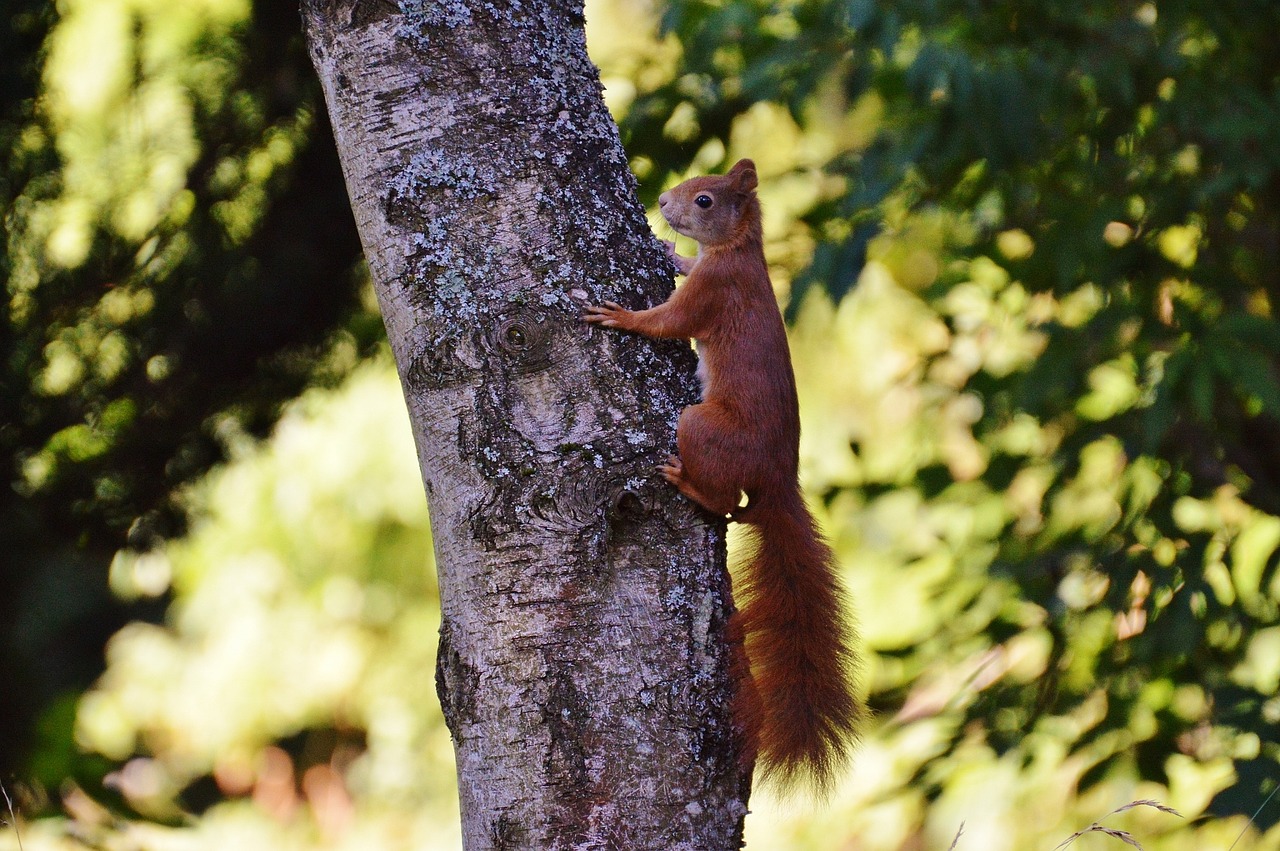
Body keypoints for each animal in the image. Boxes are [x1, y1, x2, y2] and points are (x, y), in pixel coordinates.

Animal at [586, 157, 865, 788]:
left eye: (706, 200)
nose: (664, 201)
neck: (738, 250)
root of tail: (778, 482)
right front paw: (669, 251)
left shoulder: (714, 293)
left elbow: (667, 321)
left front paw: (620, 315)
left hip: (701, 427)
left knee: (724, 503)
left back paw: (685, 482)